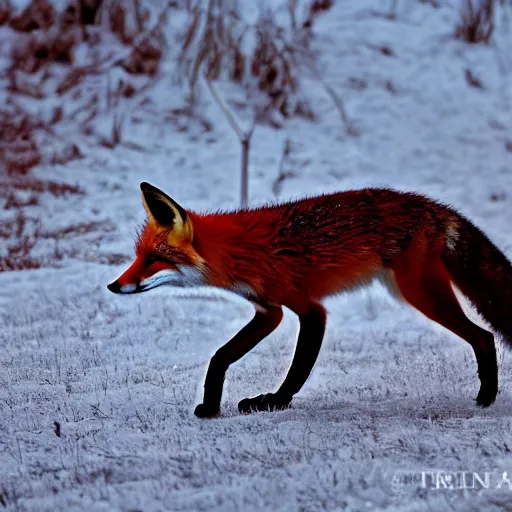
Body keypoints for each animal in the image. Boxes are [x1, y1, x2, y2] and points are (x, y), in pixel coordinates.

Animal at [109, 182, 512, 418]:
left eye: (154, 260)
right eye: (138, 257)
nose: (114, 286)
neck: (237, 253)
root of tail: (429, 205)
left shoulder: (307, 307)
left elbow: (298, 368)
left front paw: (275, 401)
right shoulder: (267, 309)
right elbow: (220, 357)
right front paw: (212, 404)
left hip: (420, 293)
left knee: (483, 336)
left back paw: (487, 397)